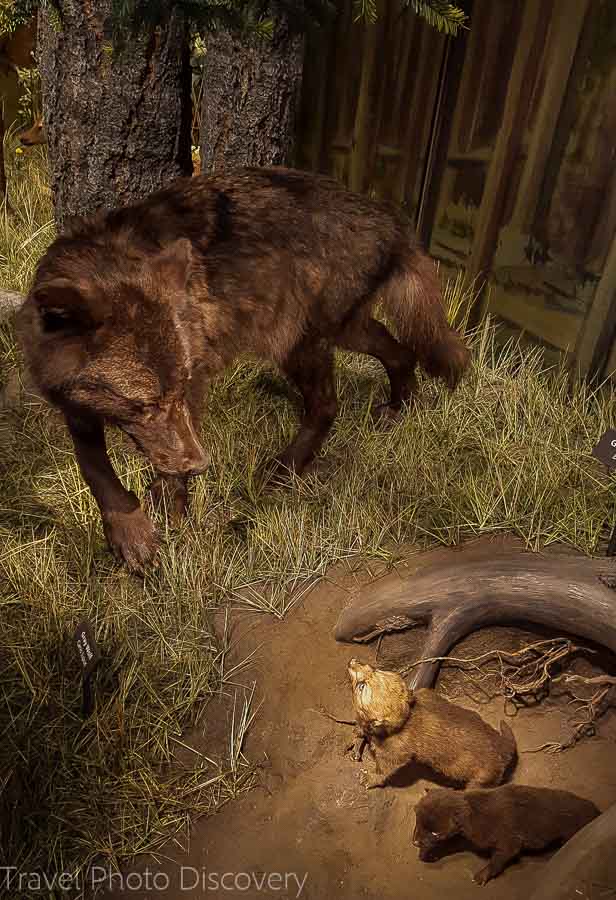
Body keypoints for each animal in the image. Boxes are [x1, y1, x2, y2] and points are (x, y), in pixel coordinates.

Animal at [18, 167, 472, 568]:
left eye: (179, 389)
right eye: (144, 405)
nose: (202, 465)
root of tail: (390, 218)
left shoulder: (195, 380)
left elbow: (162, 476)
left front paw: (171, 518)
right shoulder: (72, 402)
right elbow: (92, 464)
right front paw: (129, 530)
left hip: (301, 342)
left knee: (329, 404)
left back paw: (285, 469)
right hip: (346, 332)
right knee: (401, 353)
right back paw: (399, 408)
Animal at [412, 784, 600, 884]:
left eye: (435, 833)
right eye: (416, 817)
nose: (415, 843)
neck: (474, 812)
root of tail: (596, 810)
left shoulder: (509, 842)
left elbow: (498, 859)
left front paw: (483, 875)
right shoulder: (466, 836)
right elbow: (454, 843)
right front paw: (431, 854)